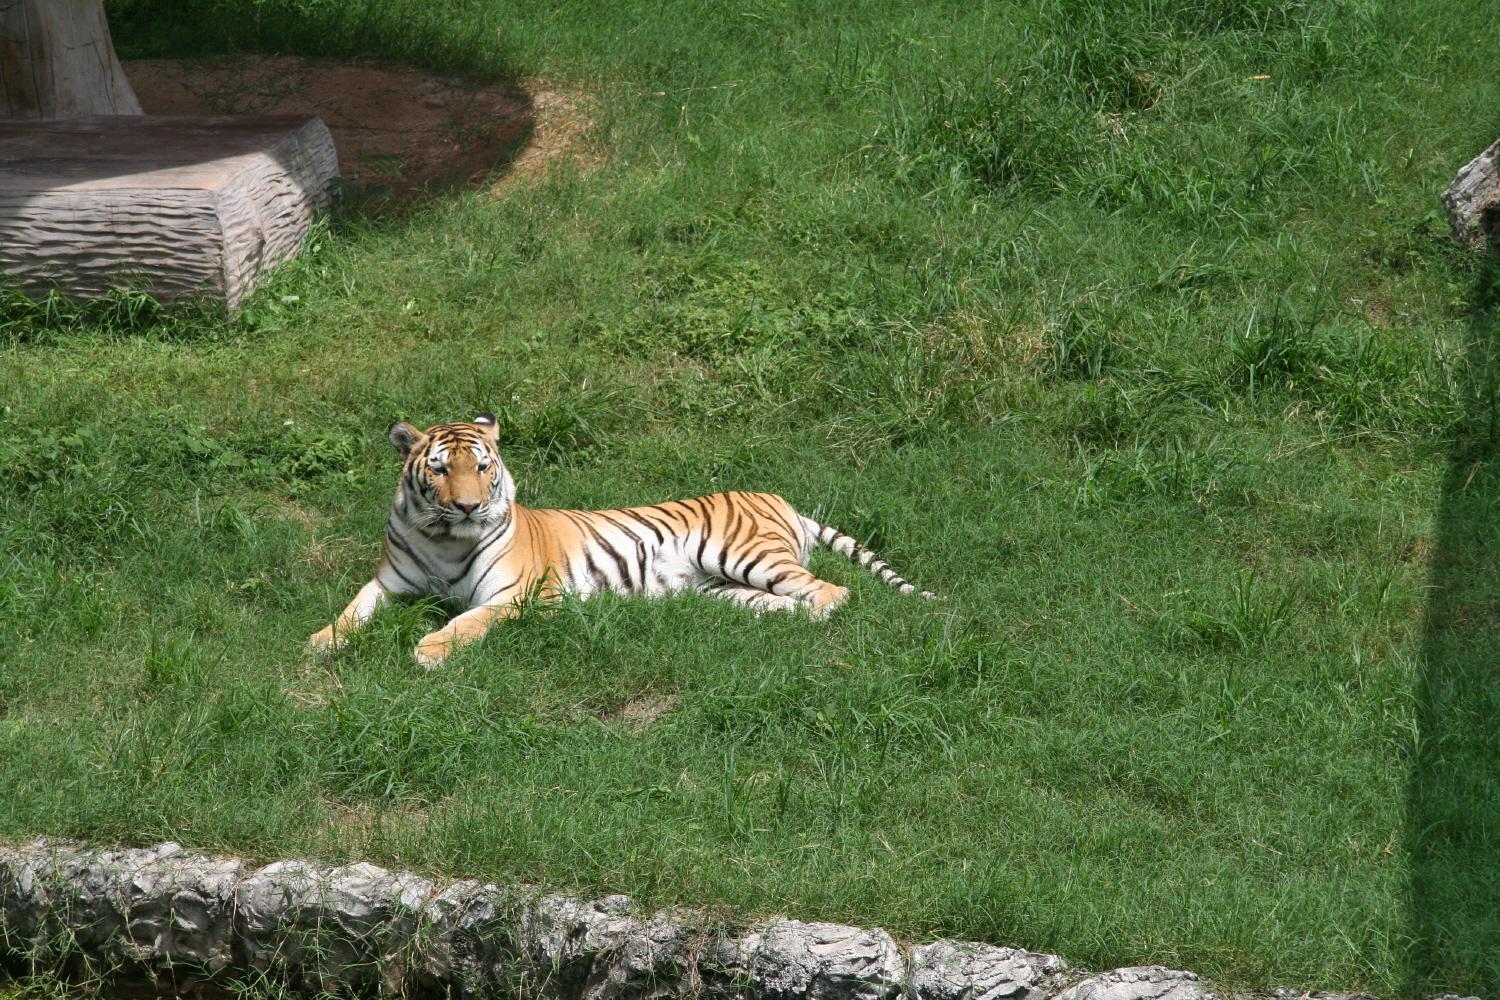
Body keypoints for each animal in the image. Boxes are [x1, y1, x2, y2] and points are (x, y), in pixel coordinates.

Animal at [307, 413, 938, 667]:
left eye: (483, 469)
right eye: (439, 470)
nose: (467, 504)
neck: (445, 537)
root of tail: (781, 499)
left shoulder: (519, 595)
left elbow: (469, 620)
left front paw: (431, 649)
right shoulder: (388, 582)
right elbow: (354, 608)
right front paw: (321, 641)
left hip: (741, 554)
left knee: (832, 591)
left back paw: (818, 616)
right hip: (719, 588)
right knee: (781, 600)